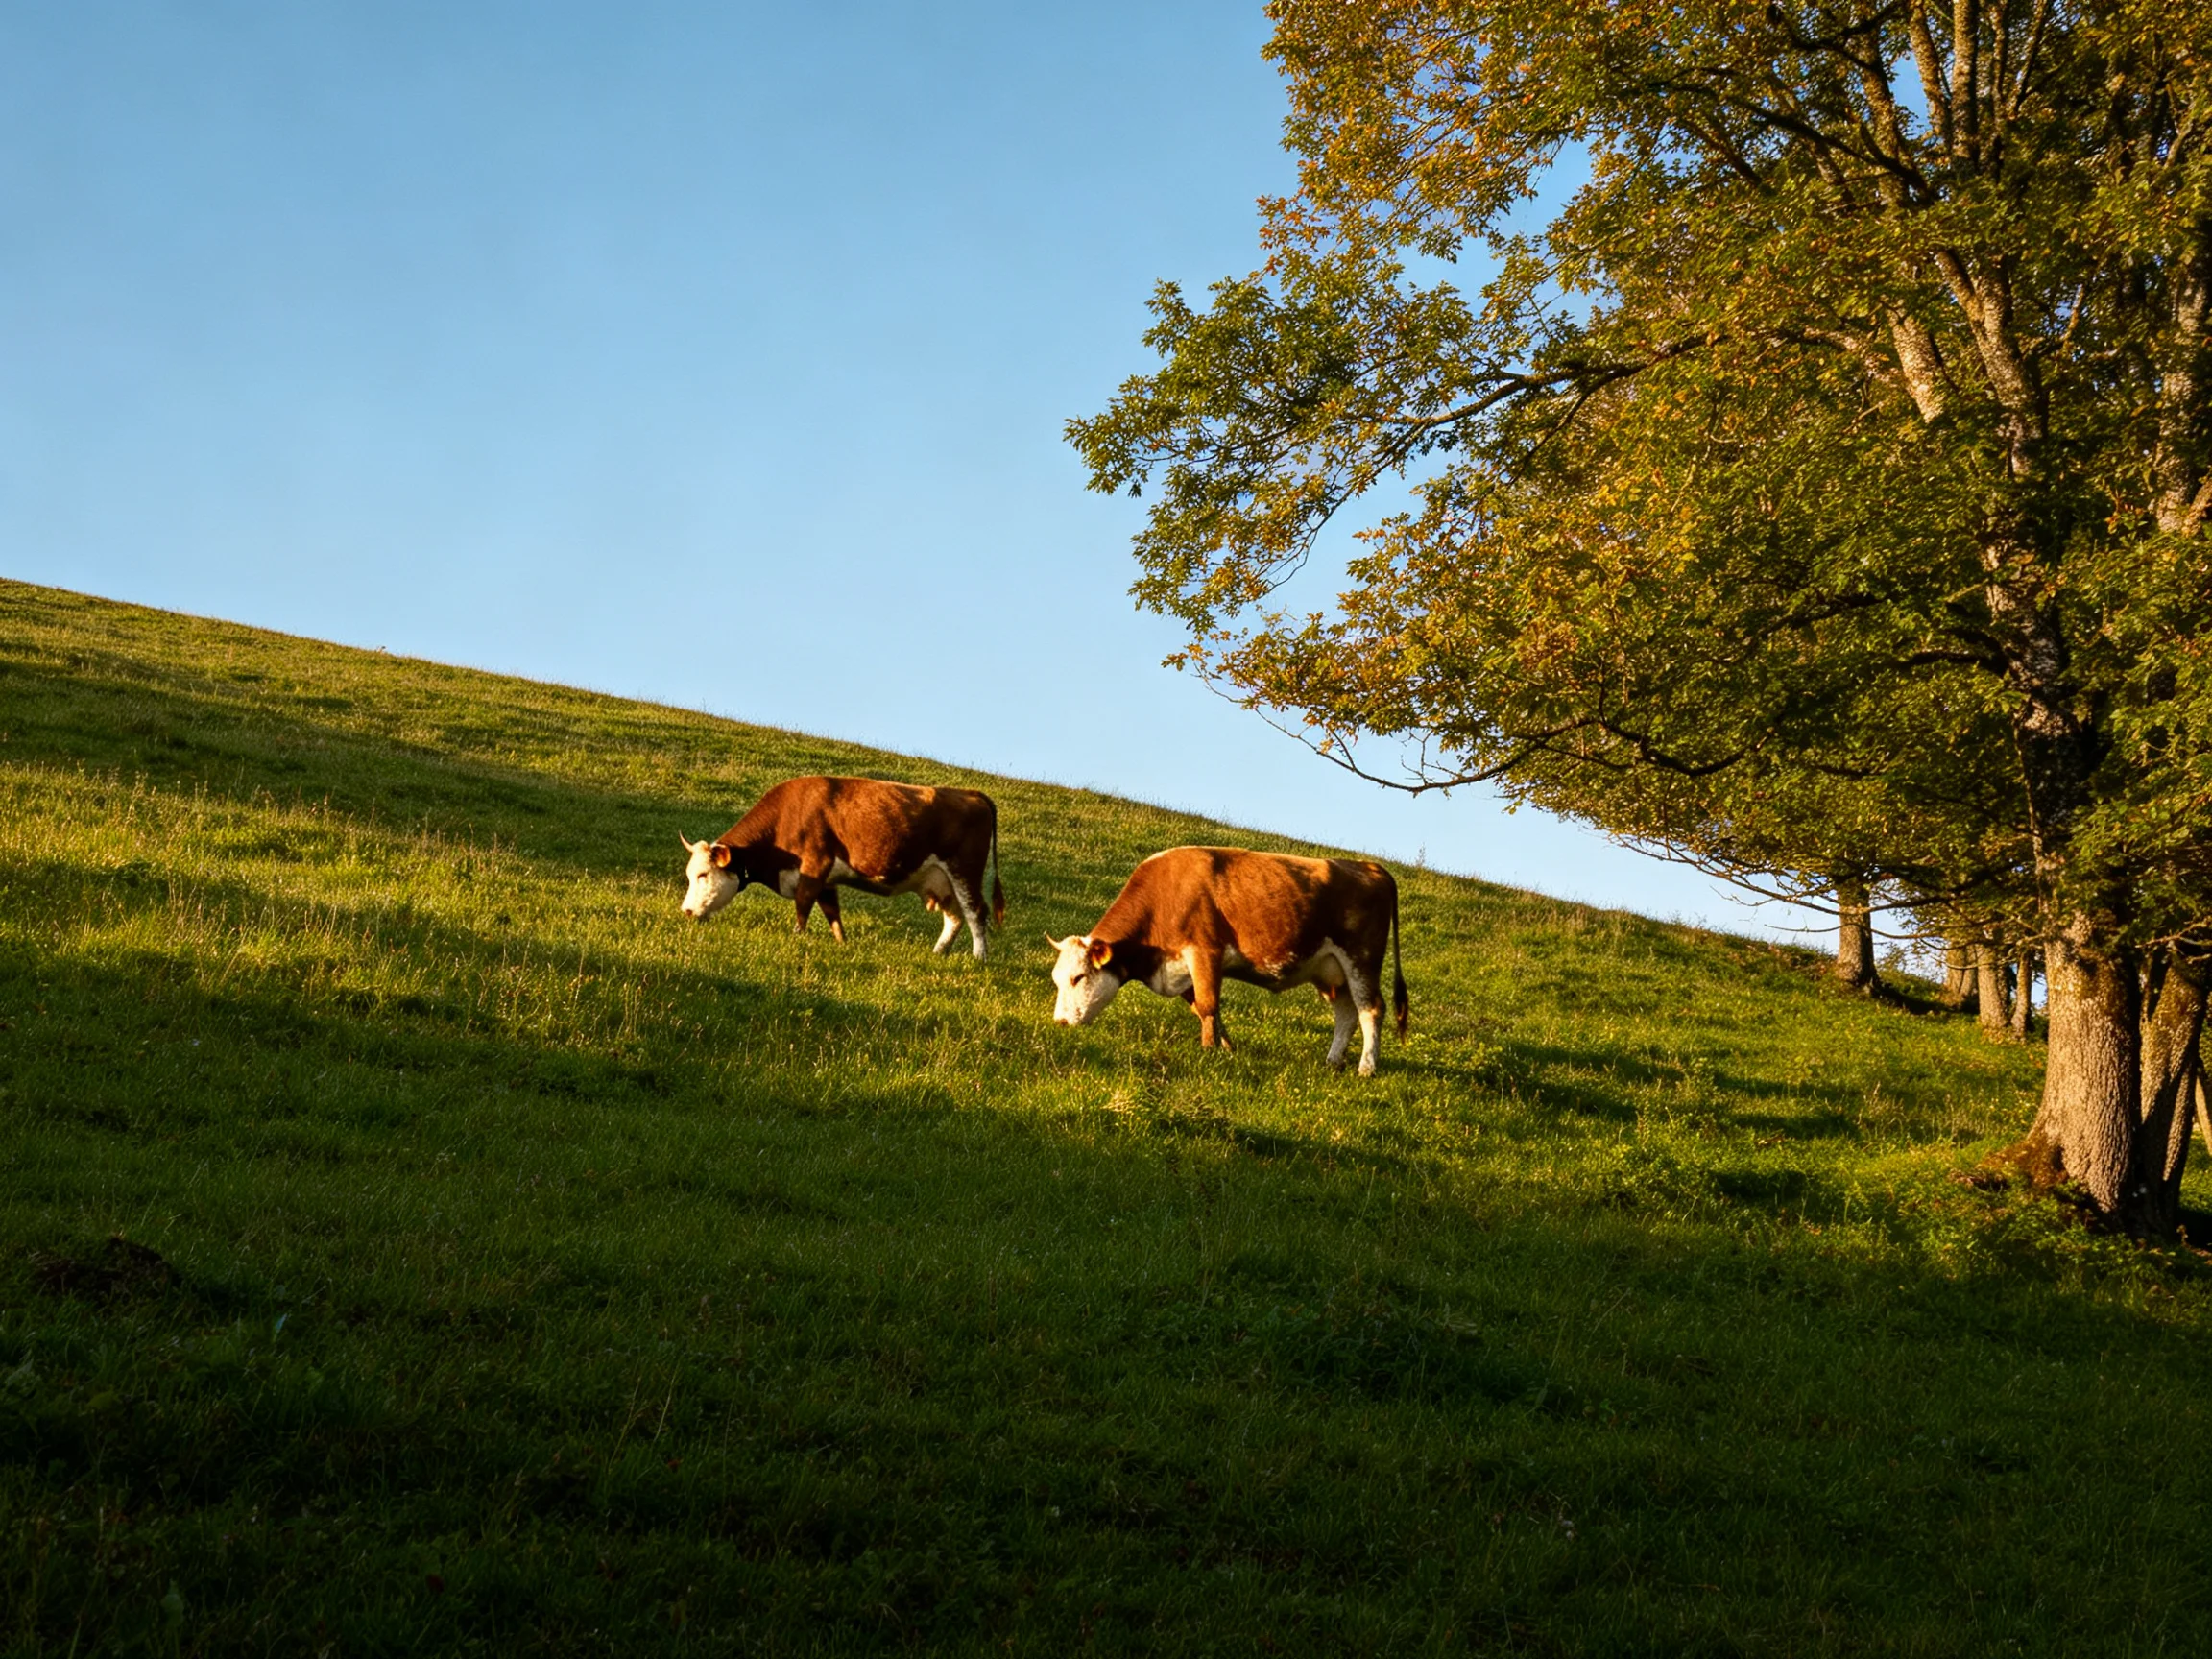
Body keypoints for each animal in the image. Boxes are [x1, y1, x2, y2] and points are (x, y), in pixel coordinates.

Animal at [679, 775, 1004, 959]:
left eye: (703, 874)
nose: (686, 911)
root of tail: (971, 793)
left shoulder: (814, 867)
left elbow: (803, 906)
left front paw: (797, 938)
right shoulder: (826, 880)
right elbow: (832, 914)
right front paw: (842, 944)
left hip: (964, 871)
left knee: (976, 913)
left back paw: (979, 958)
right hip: (941, 881)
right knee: (954, 918)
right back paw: (938, 953)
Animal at [1047, 845, 1409, 1074]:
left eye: (1078, 977)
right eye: (1058, 979)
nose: (1060, 1022)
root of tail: (1368, 866)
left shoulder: (1205, 952)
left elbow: (1208, 1005)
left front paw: (1209, 1051)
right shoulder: (1182, 969)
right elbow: (1202, 1007)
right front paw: (1227, 1047)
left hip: (1361, 960)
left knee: (1370, 1010)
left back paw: (1367, 1067)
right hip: (1331, 970)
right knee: (1346, 1013)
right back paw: (1333, 1061)